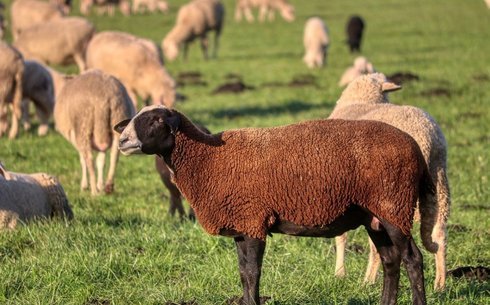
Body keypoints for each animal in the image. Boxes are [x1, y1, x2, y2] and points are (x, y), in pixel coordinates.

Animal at [117, 104, 438, 304]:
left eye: (157, 120)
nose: (121, 141)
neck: (208, 161)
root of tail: (415, 149)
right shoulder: (241, 225)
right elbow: (243, 274)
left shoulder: (252, 220)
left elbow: (252, 274)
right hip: (375, 214)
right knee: (390, 259)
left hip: (394, 204)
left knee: (412, 258)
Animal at [328, 72, 450, 290]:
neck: (363, 100)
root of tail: (425, 137)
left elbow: (340, 235)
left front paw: (339, 273)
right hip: (440, 181)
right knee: (439, 234)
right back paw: (440, 284)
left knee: (380, 246)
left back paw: (368, 280)